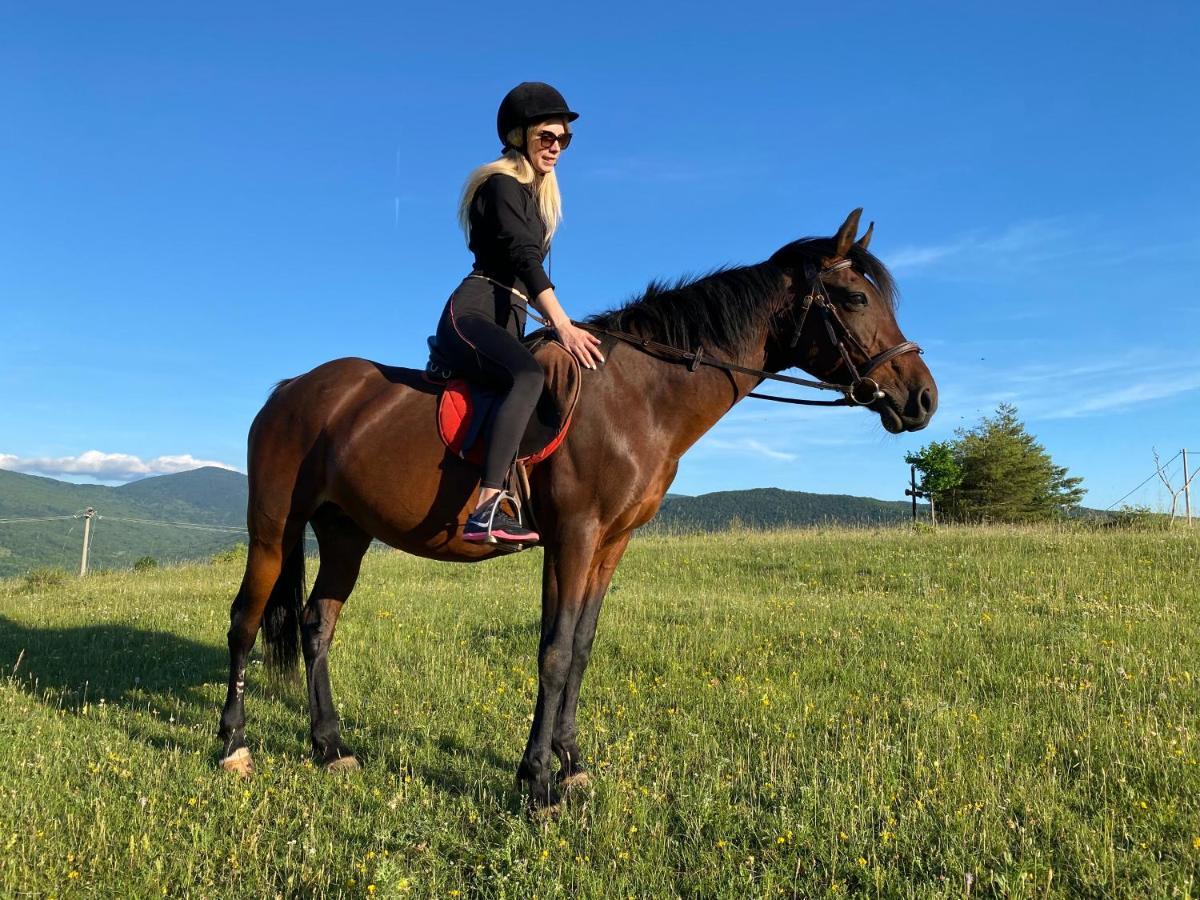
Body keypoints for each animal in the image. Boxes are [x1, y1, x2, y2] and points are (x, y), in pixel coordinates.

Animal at [220, 207, 940, 816]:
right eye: (855, 299)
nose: (922, 398)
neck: (638, 398)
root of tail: (291, 389)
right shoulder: (574, 535)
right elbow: (556, 651)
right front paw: (538, 784)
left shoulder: (609, 542)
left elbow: (581, 647)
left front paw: (568, 764)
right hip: (273, 530)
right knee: (244, 623)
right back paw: (234, 746)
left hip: (346, 533)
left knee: (316, 625)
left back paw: (330, 747)